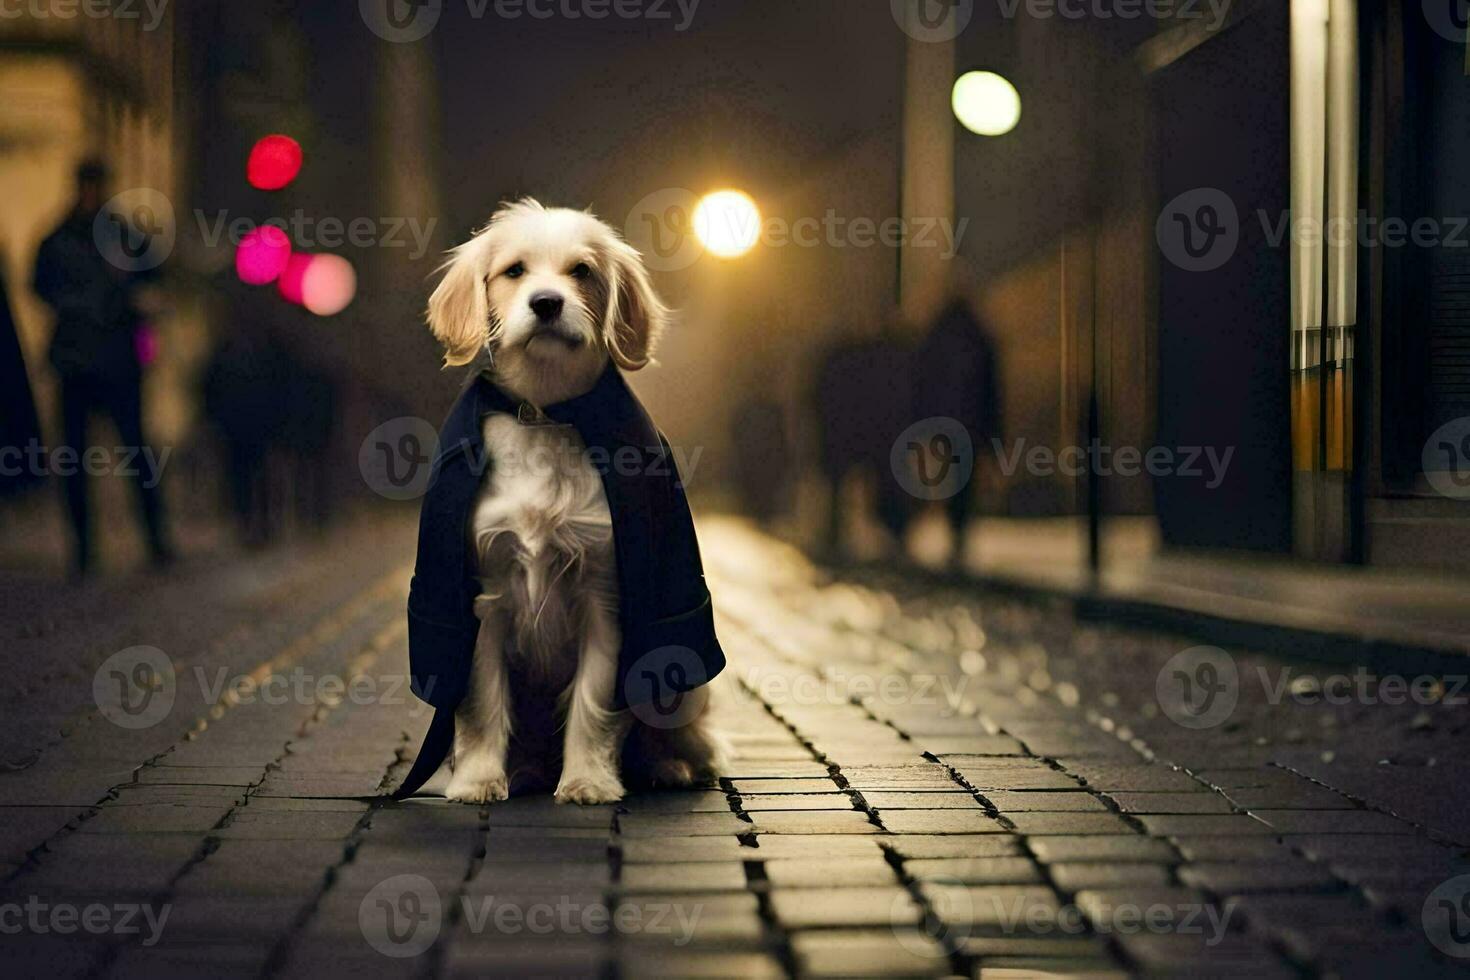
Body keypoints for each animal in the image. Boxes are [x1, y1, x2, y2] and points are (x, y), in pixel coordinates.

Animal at [423, 199, 726, 805]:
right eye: (514, 271)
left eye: (581, 271)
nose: (546, 302)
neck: (544, 413)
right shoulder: (483, 597)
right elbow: (482, 704)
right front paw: (478, 779)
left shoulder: (604, 598)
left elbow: (593, 702)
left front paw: (587, 779)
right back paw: (524, 771)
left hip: (686, 690)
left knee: (685, 737)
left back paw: (668, 766)